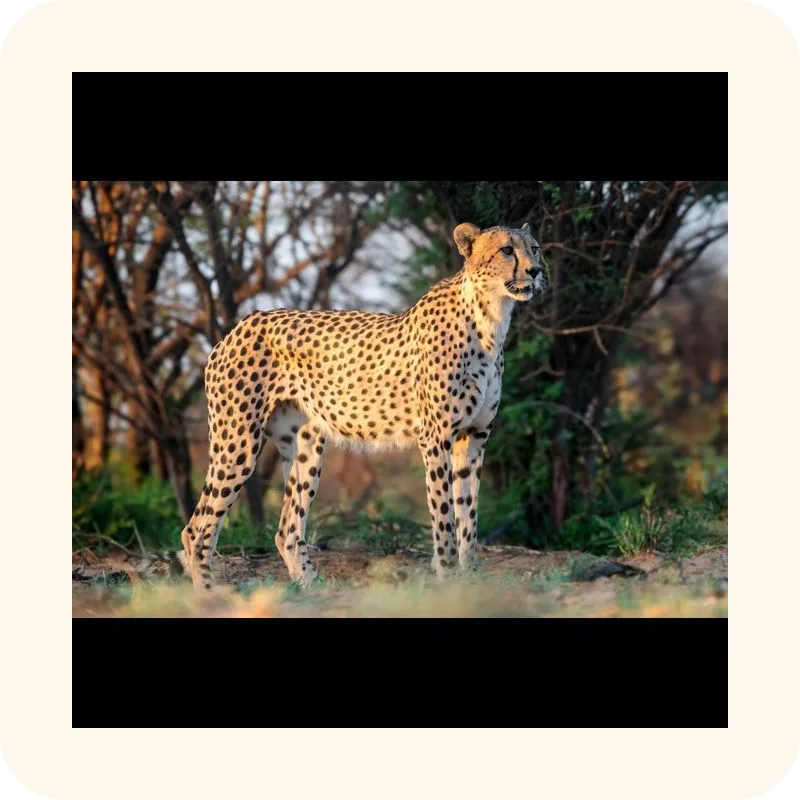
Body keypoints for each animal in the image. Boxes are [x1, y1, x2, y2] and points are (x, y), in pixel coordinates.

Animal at [145, 221, 547, 592]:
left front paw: (471, 579)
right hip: (237, 444)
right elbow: (445, 516)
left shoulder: (473, 438)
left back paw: (312, 589)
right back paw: (211, 593)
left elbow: (469, 516)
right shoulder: (436, 439)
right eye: (507, 250)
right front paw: (448, 579)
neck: (490, 317)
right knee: (196, 529)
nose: (536, 271)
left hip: (307, 446)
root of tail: (241, 323)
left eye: (535, 248)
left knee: (287, 530)